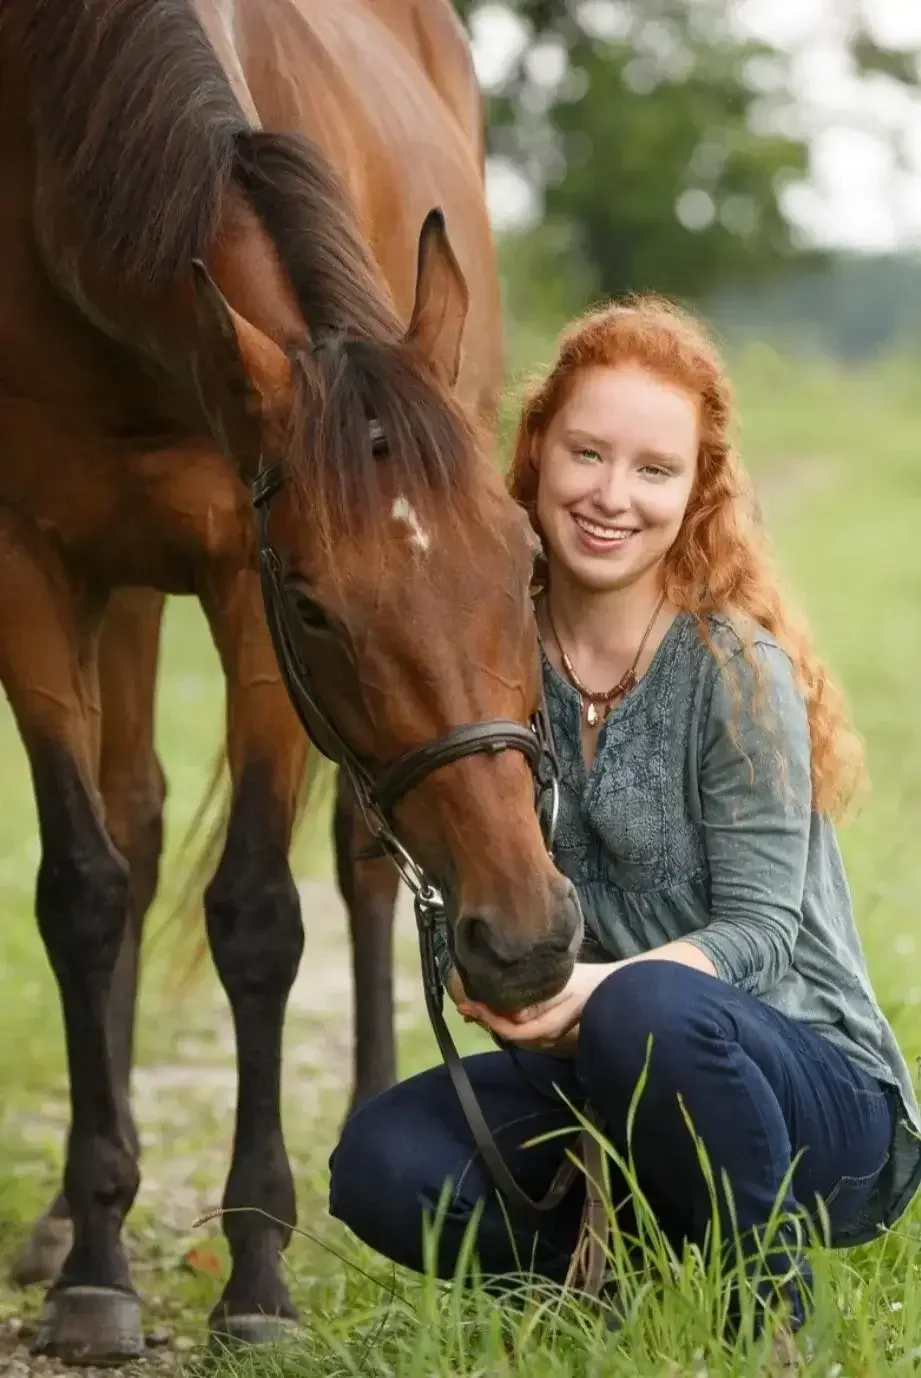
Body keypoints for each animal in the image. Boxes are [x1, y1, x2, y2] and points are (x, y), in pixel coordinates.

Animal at [0, 0, 583, 1360]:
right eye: (319, 602)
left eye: (527, 563)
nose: (532, 939)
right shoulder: (36, 566)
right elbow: (84, 890)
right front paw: (94, 1259)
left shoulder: (236, 581)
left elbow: (261, 915)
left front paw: (258, 1268)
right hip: (124, 591)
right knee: (137, 820)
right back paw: (65, 1218)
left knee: (365, 869)